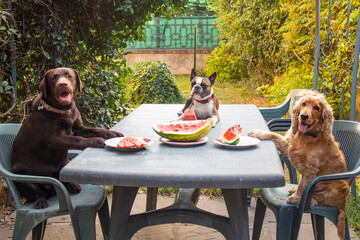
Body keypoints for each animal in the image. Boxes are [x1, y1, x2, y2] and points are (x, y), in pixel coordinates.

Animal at [11, 67, 124, 208]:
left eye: (69, 76)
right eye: (53, 78)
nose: (63, 84)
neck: (64, 111)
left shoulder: (79, 128)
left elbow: (97, 130)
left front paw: (113, 133)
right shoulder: (54, 138)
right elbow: (76, 139)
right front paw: (95, 141)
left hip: (64, 163)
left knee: (62, 181)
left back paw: (73, 184)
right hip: (20, 173)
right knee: (38, 192)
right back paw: (41, 201)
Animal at [248, 92, 348, 240]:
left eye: (316, 107)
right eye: (303, 104)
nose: (304, 116)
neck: (306, 136)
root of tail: (343, 204)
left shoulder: (310, 168)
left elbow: (304, 185)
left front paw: (296, 197)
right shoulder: (288, 145)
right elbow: (273, 135)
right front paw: (258, 133)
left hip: (340, 186)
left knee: (321, 200)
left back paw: (309, 200)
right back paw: (293, 189)